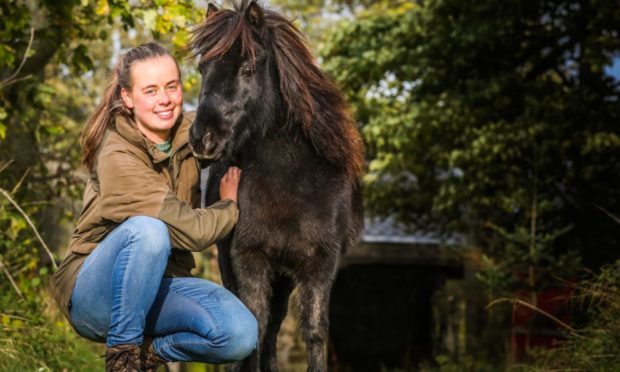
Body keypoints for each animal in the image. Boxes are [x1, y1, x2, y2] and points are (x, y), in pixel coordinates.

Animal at [186, 1, 366, 370]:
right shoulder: (248, 258)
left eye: (247, 68)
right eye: (202, 68)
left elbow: (315, 331)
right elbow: (254, 325)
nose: (202, 139)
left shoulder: (321, 265)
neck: (290, 181)